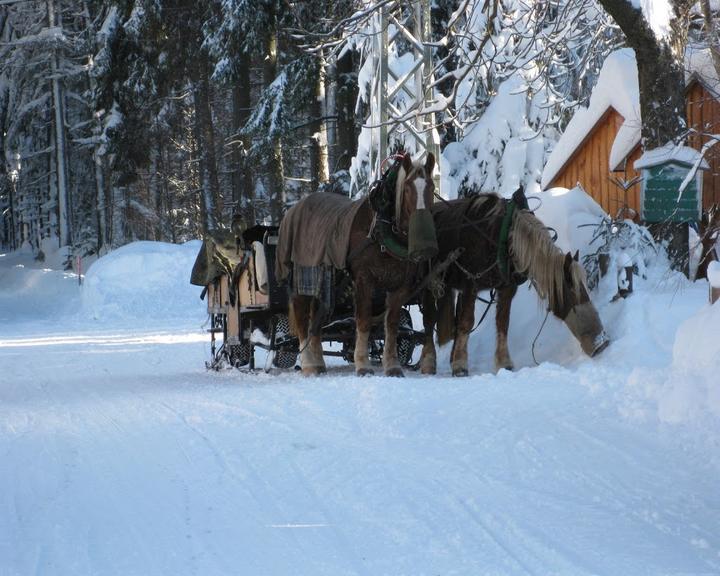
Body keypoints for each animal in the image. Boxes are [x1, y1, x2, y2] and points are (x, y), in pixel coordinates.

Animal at [274, 153, 434, 376]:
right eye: (408, 188)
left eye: (432, 188)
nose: (424, 243)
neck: (380, 232)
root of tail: (293, 209)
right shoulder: (363, 280)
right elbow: (364, 321)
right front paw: (363, 364)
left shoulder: (400, 286)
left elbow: (391, 325)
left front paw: (392, 366)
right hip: (301, 280)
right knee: (302, 320)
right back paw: (308, 365)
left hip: (324, 285)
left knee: (316, 321)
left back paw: (318, 363)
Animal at [420, 191, 612, 376]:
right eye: (571, 290)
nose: (601, 342)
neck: (501, 237)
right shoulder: (470, 284)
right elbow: (467, 322)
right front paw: (460, 366)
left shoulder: (506, 288)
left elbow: (502, 322)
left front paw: (504, 363)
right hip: (429, 284)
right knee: (429, 320)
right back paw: (428, 362)